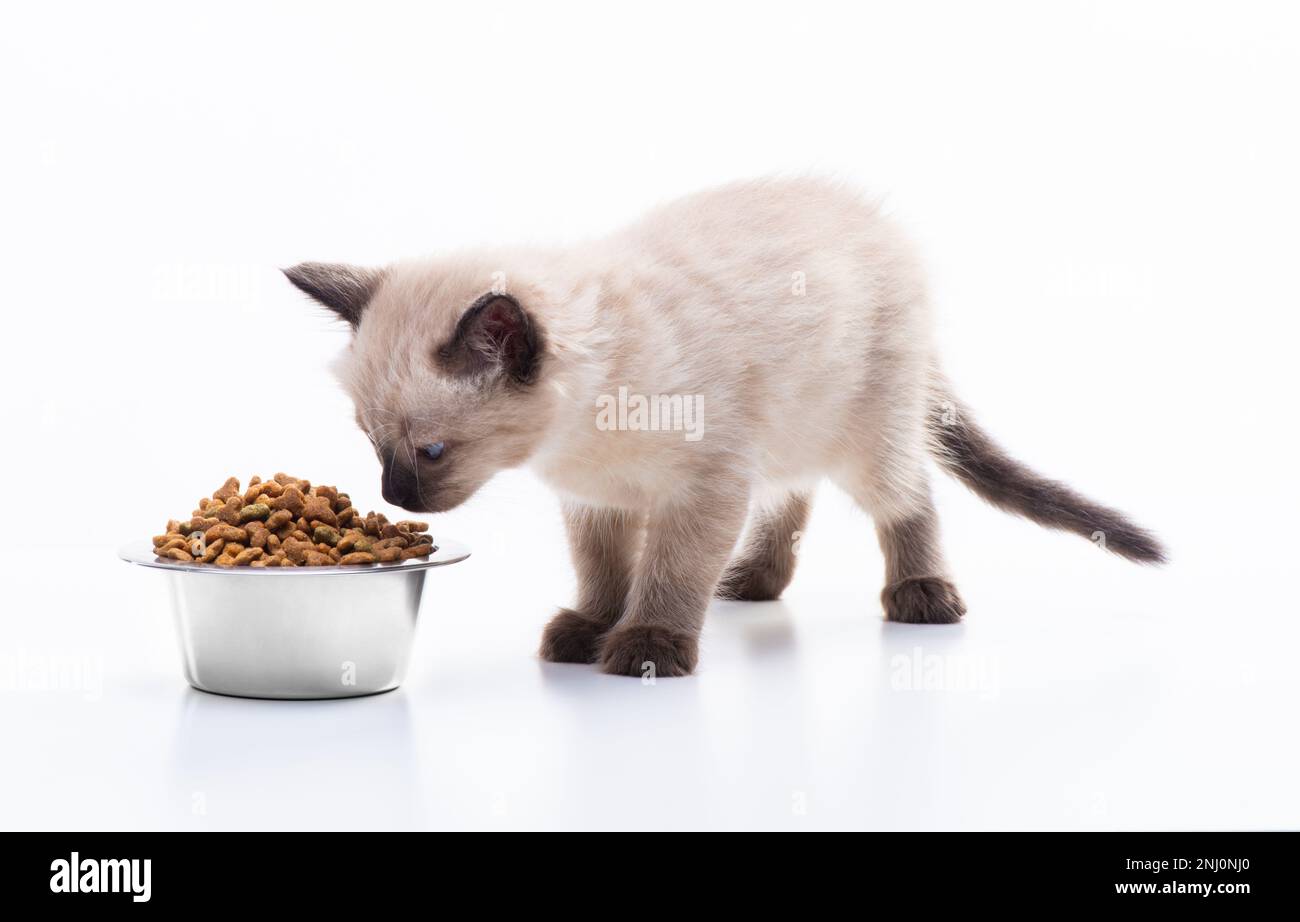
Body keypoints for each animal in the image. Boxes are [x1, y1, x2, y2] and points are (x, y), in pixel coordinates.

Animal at [287, 176, 1170, 676]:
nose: (397, 498)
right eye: (370, 443)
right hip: (792, 425)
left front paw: (646, 646)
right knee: (793, 494)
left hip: (862, 429)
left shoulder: (703, 488)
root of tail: (874, 218)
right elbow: (603, 573)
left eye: (431, 451)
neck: (582, 431)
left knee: (906, 497)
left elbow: (670, 573)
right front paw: (591, 629)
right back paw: (754, 580)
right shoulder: (597, 502)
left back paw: (919, 595)